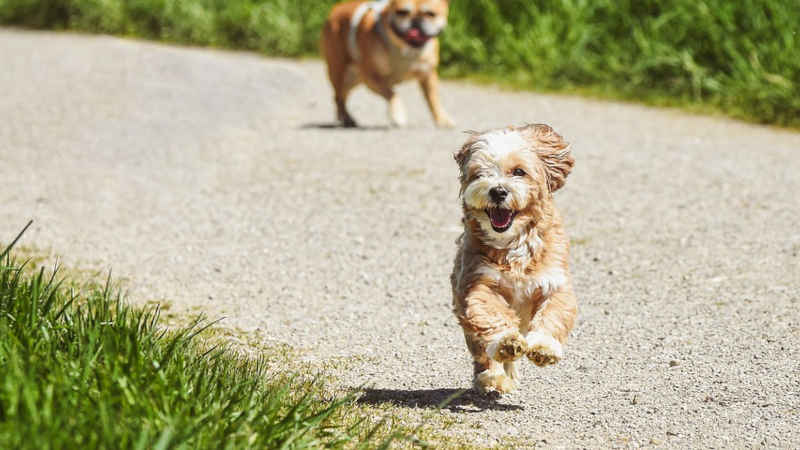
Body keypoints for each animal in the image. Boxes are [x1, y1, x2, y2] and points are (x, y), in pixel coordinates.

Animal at [322, 0, 454, 128]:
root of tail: (337, 8)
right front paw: (398, 115)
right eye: (402, 12)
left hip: (353, 79)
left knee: (342, 95)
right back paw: (346, 118)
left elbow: (433, 99)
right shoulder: (372, 78)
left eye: (431, 14)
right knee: (338, 96)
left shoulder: (428, 75)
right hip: (340, 73)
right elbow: (392, 93)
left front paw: (442, 119)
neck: (405, 49)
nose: (415, 21)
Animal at [454, 123, 580, 394]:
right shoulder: (478, 283)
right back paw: (493, 376)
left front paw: (544, 347)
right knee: (483, 352)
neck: (513, 243)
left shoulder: (555, 282)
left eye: (519, 172)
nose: (498, 191)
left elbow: (554, 315)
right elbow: (491, 314)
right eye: (479, 173)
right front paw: (506, 342)